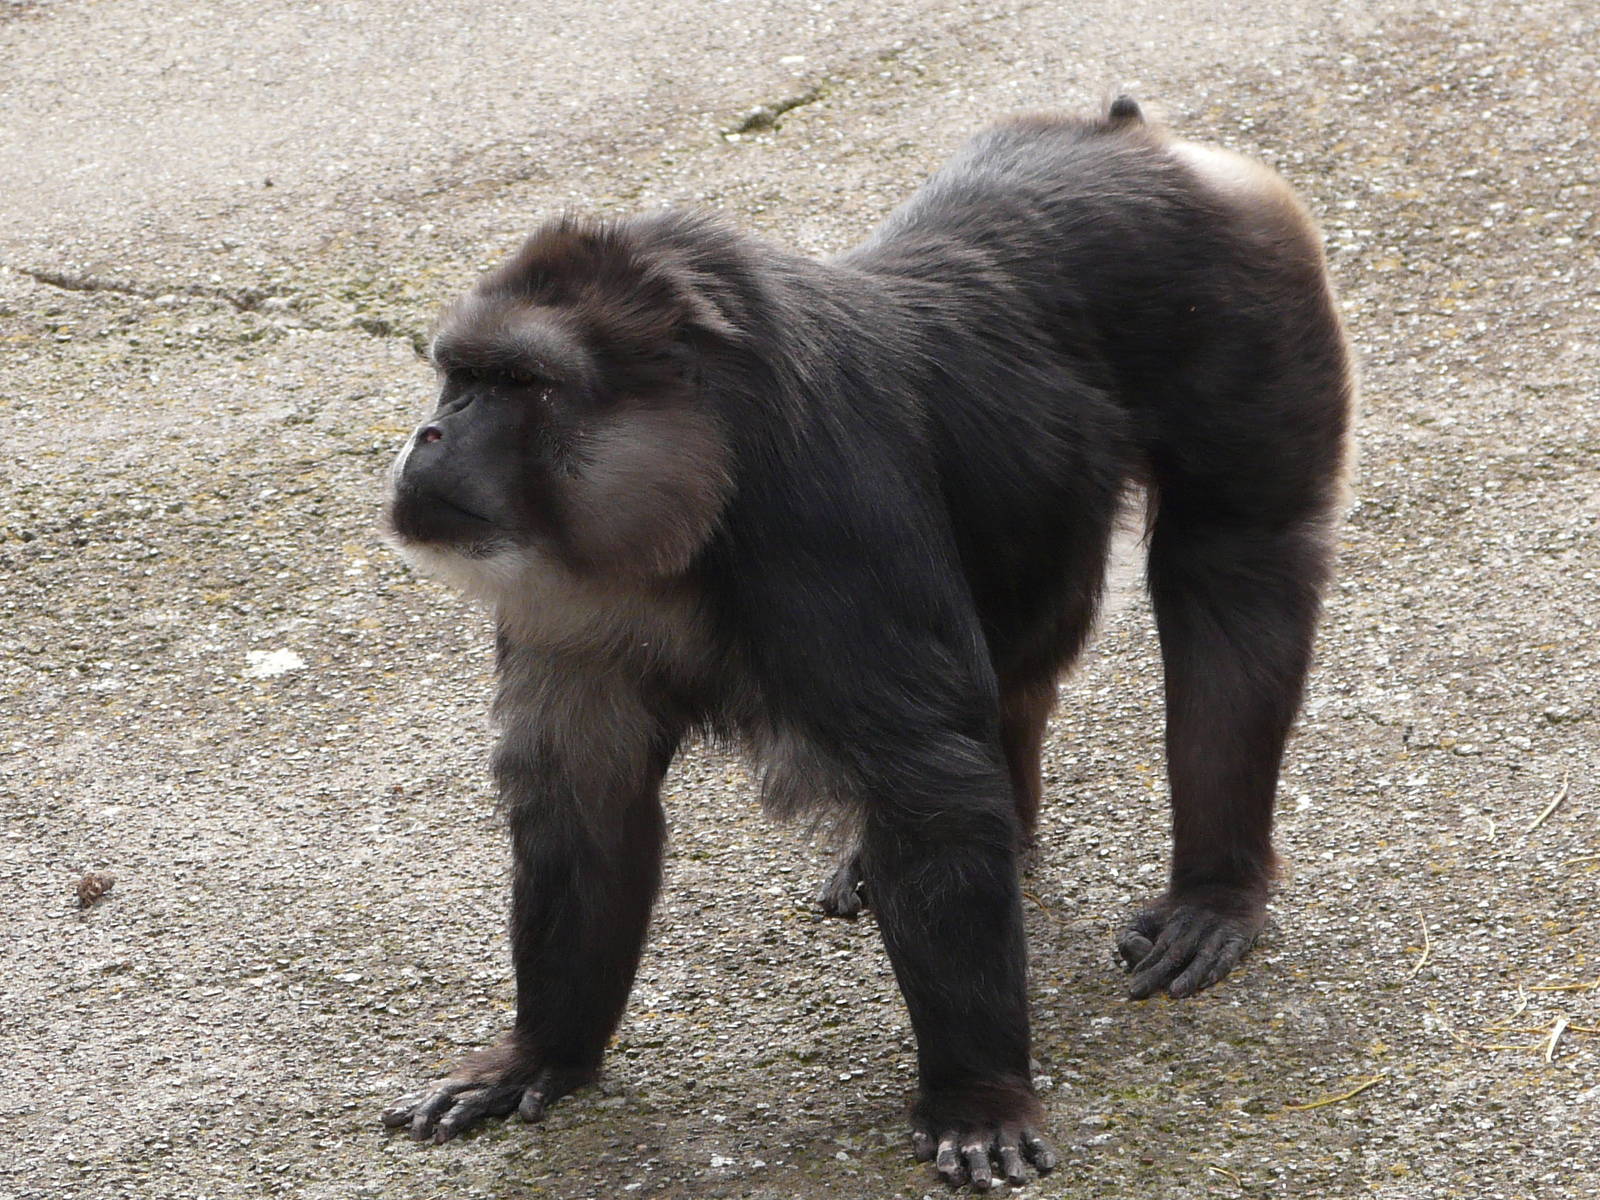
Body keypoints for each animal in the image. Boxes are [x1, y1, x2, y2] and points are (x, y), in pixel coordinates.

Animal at [378, 97, 1351, 1189]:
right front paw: (542, 1051)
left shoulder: (827, 506)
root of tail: (1120, 136)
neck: (695, 505)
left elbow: (931, 790)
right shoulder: (563, 590)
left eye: (520, 383)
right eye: (458, 377)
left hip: (1247, 290)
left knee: (1230, 565)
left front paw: (975, 1095)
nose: (429, 437)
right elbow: (582, 792)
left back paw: (1215, 890)